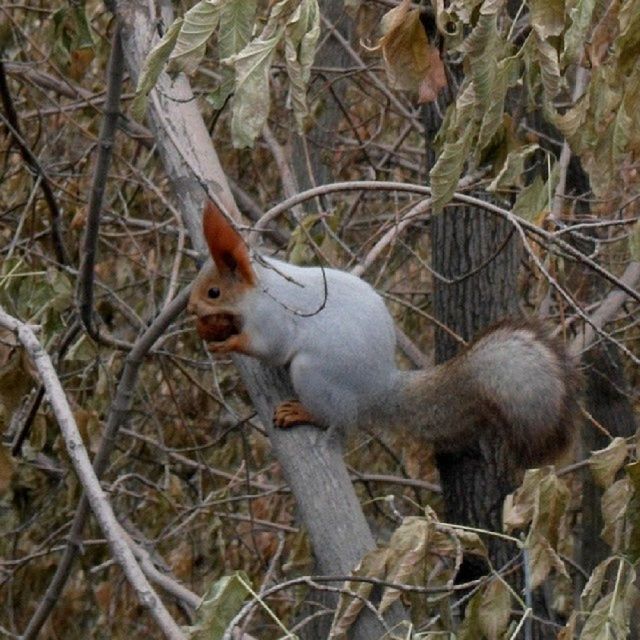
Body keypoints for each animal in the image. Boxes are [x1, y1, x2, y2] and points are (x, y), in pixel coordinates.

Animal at [186, 201, 580, 464]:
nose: (189, 308)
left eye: (213, 292)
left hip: (313, 375)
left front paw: (228, 342)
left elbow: (270, 346)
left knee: (339, 418)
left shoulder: (274, 319)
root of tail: (377, 386)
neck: (259, 290)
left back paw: (304, 413)